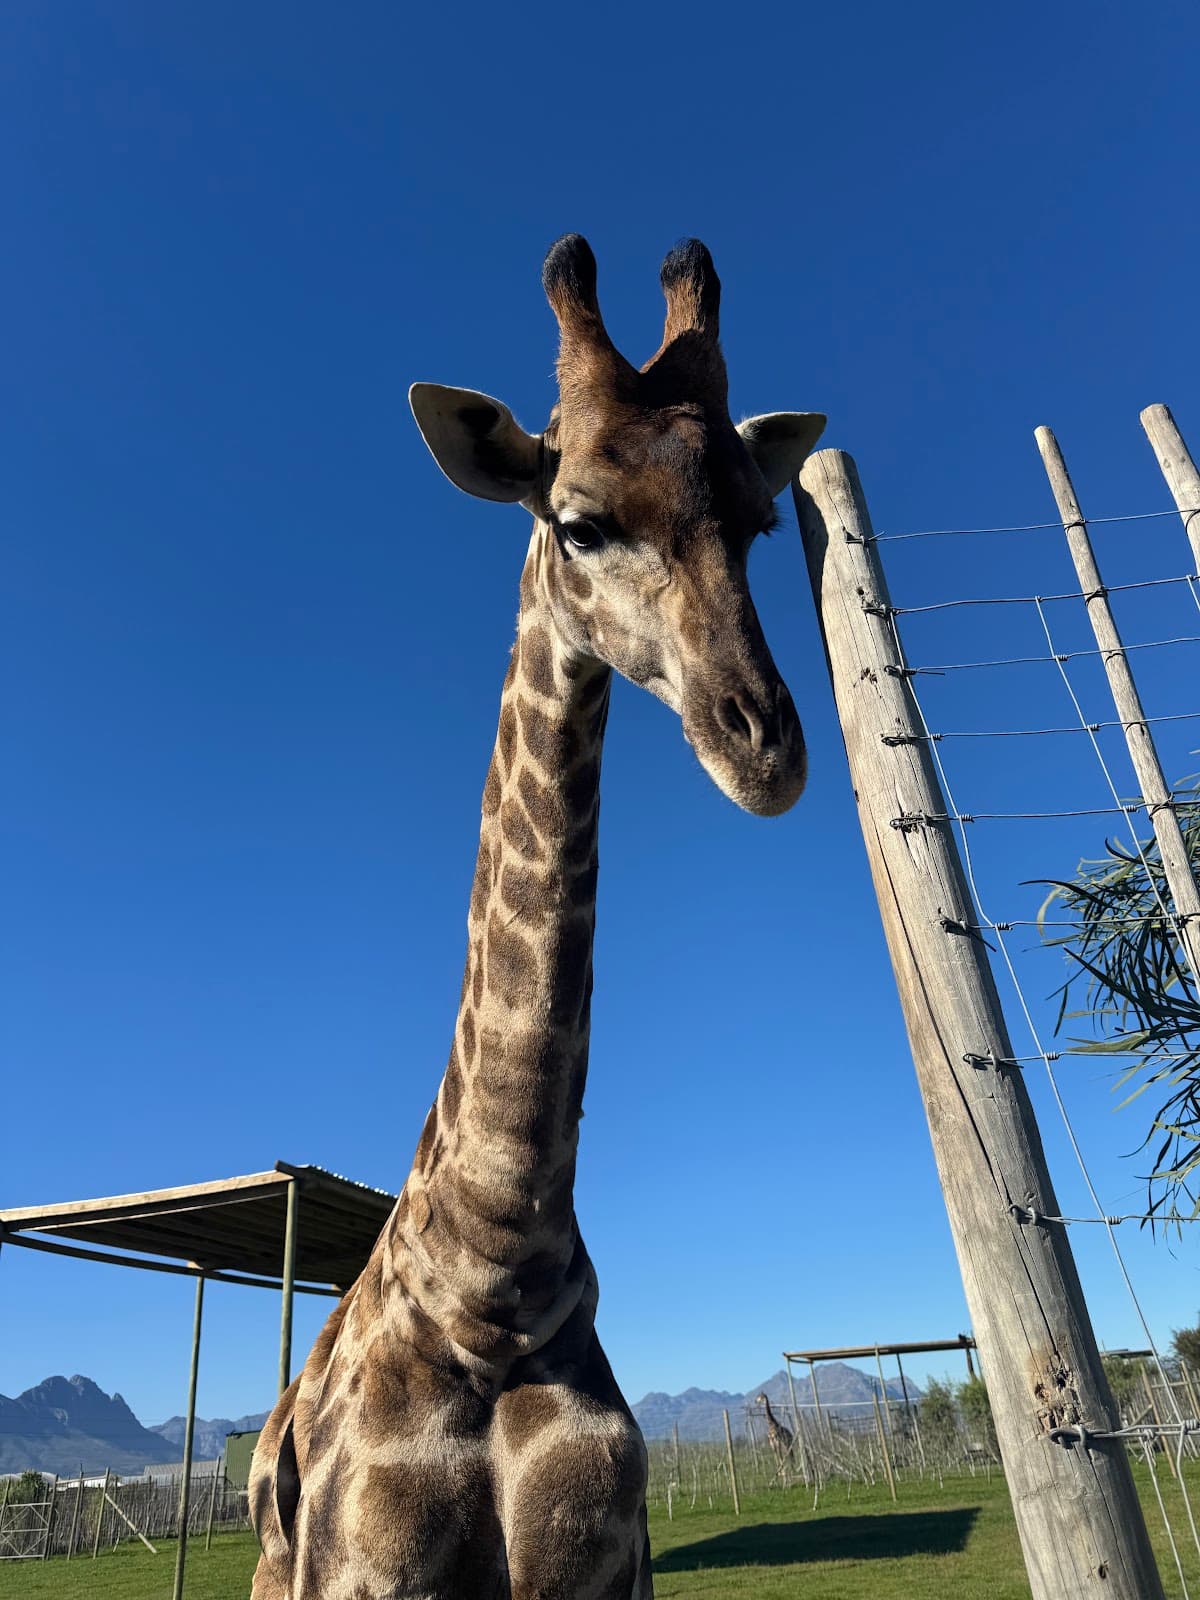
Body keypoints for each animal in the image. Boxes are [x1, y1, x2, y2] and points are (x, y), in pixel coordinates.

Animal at [248, 235, 824, 1599]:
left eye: (759, 521)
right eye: (580, 522)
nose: (767, 748)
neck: (496, 1278)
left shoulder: (602, 1566)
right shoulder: (369, 1572)